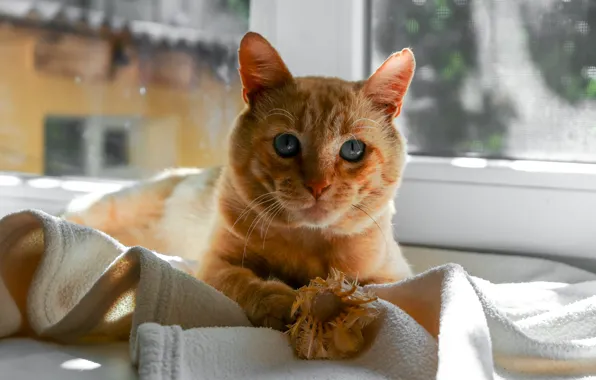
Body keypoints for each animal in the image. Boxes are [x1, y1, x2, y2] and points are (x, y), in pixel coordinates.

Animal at [61, 31, 414, 332]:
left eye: (353, 150)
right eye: (286, 144)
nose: (318, 186)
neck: (306, 242)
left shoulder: (392, 275)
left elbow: (370, 288)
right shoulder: (218, 263)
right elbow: (247, 283)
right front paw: (283, 303)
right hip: (109, 210)